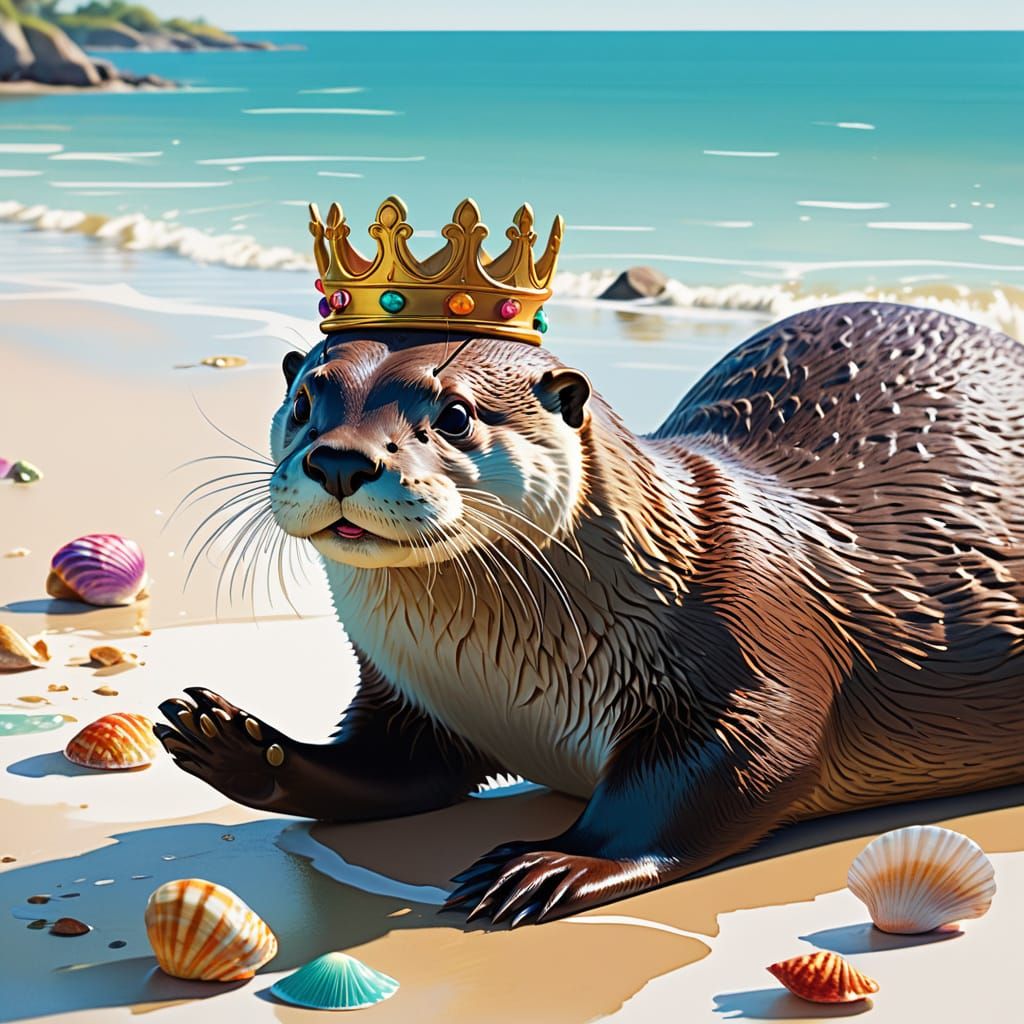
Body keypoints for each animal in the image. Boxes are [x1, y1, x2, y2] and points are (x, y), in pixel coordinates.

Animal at [157, 301, 1024, 927]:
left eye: (456, 413)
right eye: (306, 398)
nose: (339, 459)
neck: (504, 685)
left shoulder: (749, 630)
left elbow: (752, 758)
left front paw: (555, 863)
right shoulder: (411, 696)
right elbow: (386, 767)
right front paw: (237, 742)